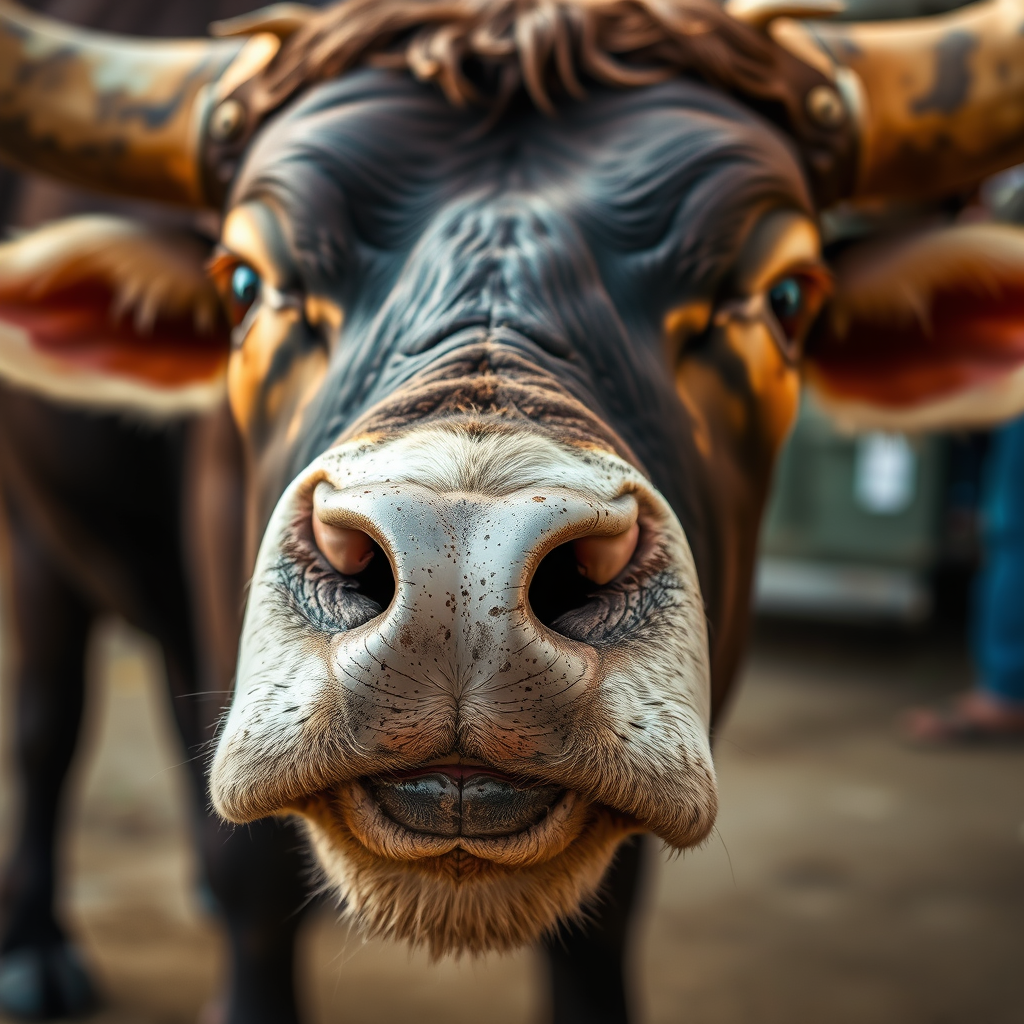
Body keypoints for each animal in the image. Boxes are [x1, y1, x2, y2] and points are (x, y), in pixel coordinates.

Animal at [3, 0, 1024, 1020]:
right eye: (247, 283)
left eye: (784, 294)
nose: (460, 580)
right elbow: (243, 876)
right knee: (48, 723)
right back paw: (37, 951)